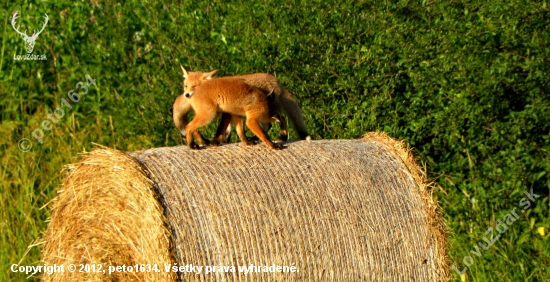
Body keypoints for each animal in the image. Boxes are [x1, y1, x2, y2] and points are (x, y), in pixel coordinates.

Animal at [172, 66, 310, 143]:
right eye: (186, 86)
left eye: (195, 86)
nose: (187, 95)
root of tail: (275, 79)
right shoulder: (228, 112)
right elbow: (226, 129)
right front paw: (223, 141)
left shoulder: (226, 112)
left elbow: (221, 129)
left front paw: (215, 141)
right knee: (269, 124)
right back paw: (256, 138)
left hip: (266, 109)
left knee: (281, 119)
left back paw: (282, 137)